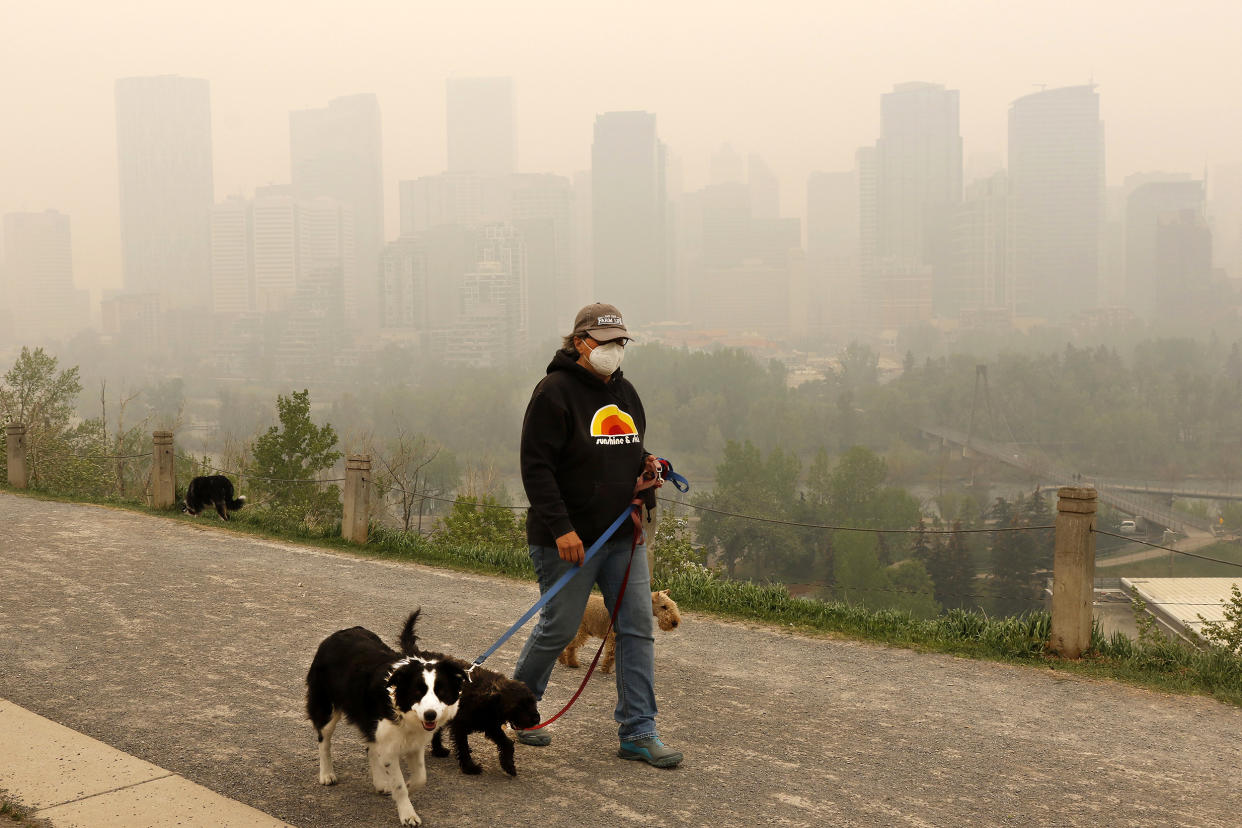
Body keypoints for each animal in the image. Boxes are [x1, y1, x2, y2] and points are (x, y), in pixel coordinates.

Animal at [394, 608, 536, 779]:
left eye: (533, 702)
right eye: (519, 706)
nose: (537, 719)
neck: (487, 697)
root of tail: (417, 655)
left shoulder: (490, 725)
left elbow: (506, 742)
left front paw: (508, 765)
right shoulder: (461, 725)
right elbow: (462, 745)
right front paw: (470, 767)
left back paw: (439, 750)